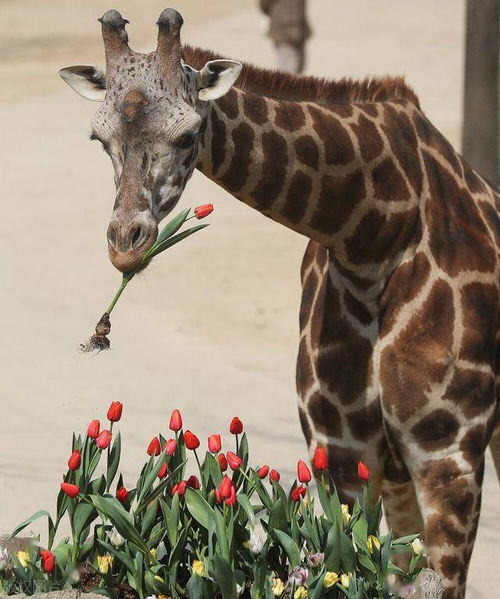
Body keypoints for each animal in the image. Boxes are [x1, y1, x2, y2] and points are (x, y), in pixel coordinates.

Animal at [59, 7, 500, 596]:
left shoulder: (449, 452)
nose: (125, 245)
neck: (374, 238)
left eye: (189, 133)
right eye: (98, 137)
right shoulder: (342, 452)